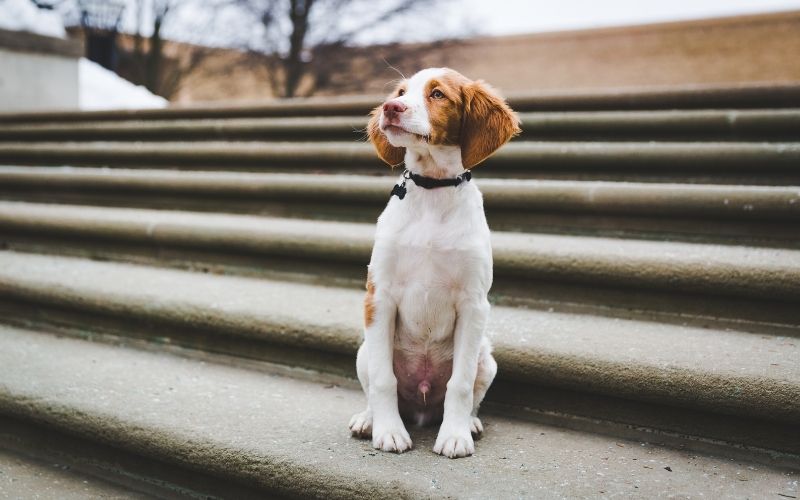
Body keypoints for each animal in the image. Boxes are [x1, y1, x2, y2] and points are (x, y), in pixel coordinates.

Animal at [348, 68, 520, 458]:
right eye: (400, 92)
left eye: (438, 94)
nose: (390, 108)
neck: (432, 190)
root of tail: (422, 408)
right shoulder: (379, 297)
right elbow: (383, 380)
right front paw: (389, 432)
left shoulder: (474, 303)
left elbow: (460, 383)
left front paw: (455, 436)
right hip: (365, 351)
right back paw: (369, 419)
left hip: (487, 358)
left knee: (470, 393)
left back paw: (469, 423)